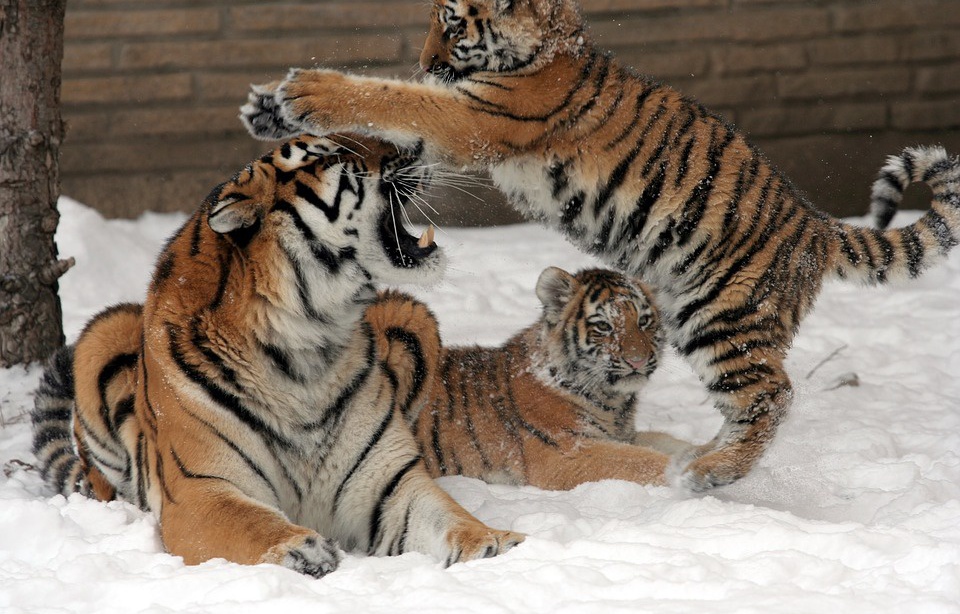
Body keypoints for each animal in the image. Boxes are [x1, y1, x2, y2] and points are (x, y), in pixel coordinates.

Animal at [30, 134, 523, 578]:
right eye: (330, 156)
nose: (416, 146)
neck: (306, 343)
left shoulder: (390, 483)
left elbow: (449, 516)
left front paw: (495, 544)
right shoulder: (200, 490)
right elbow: (249, 524)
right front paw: (301, 549)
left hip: (413, 315)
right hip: (103, 333)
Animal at [391, 266, 684, 490]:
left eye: (644, 321)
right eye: (603, 326)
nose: (638, 360)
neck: (613, 402)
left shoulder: (621, 436)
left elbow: (666, 443)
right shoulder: (566, 452)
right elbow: (643, 461)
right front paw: (692, 472)